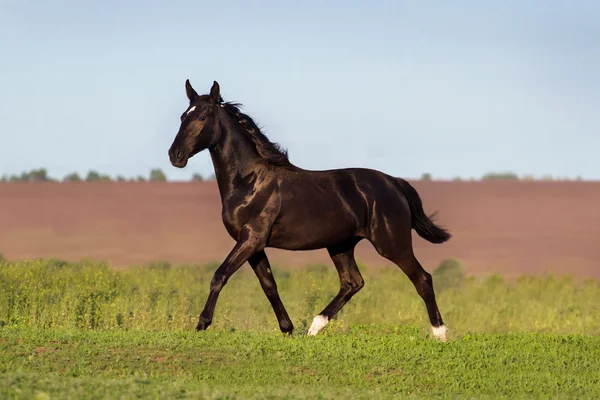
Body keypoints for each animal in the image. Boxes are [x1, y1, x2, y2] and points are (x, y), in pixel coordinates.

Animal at [168, 79, 450, 340]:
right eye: (183, 116)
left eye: (202, 116)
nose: (175, 155)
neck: (249, 181)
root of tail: (394, 182)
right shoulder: (253, 244)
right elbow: (269, 285)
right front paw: (288, 329)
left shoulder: (251, 239)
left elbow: (220, 274)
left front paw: (201, 324)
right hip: (341, 245)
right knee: (352, 283)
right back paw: (314, 328)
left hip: (392, 244)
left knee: (423, 279)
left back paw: (440, 334)